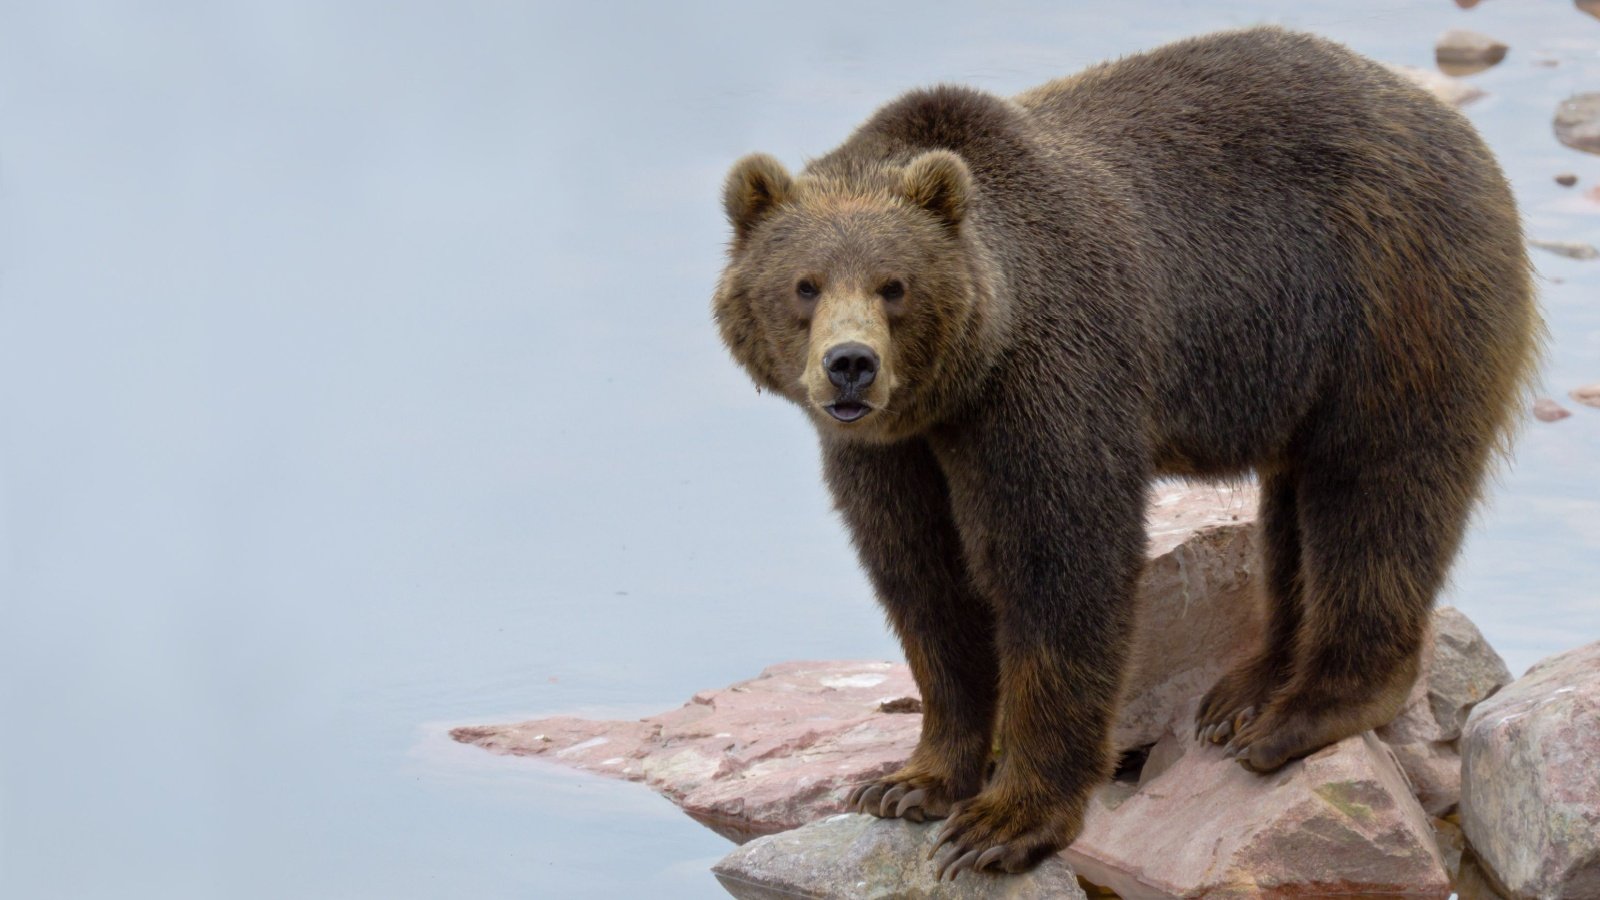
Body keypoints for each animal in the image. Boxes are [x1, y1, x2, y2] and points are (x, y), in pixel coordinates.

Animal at [713, 26, 1536, 877]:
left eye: (893, 285)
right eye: (805, 284)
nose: (851, 364)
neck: (961, 383)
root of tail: (1455, 129)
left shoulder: (1049, 379)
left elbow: (1061, 564)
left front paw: (1004, 822)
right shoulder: (892, 453)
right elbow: (922, 578)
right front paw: (911, 782)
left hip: (1393, 300)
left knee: (1379, 493)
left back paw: (1299, 715)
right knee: (1294, 517)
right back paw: (1243, 693)